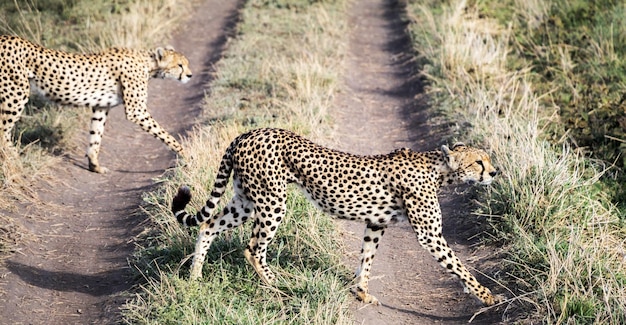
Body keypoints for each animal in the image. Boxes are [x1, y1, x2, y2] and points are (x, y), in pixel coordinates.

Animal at [0, 33, 191, 172]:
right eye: (180, 65)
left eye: (186, 64)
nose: (190, 75)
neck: (148, 63)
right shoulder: (136, 111)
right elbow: (166, 135)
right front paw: (187, 155)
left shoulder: (101, 107)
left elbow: (95, 138)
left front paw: (95, 166)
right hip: (15, 95)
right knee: (3, 132)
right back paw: (15, 161)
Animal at [172, 127, 502, 306]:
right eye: (478, 162)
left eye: (486, 159)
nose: (495, 172)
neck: (438, 170)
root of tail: (248, 133)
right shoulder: (429, 234)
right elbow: (460, 267)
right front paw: (486, 296)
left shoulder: (375, 223)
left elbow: (366, 259)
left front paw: (362, 293)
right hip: (272, 202)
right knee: (253, 248)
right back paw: (278, 285)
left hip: (246, 201)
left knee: (207, 225)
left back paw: (195, 278)